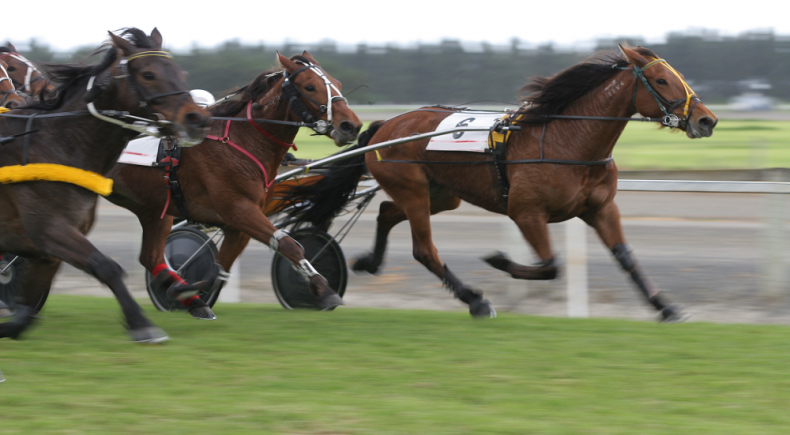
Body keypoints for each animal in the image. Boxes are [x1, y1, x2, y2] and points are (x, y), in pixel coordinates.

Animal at [0, 28, 210, 344]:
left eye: (180, 73)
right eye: (148, 74)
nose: (196, 119)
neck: (54, 143)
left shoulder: (45, 249)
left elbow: (26, 310)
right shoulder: (50, 229)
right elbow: (107, 266)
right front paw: (142, 324)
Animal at [106, 51, 364, 316]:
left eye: (338, 83)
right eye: (310, 86)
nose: (350, 125)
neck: (240, 140)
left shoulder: (238, 221)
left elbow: (220, 267)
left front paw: (186, 291)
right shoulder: (239, 209)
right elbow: (289, 245)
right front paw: (325, 289)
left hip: (154, 209)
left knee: (151, 257)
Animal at [284, 46, 716, 322]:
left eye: (677, 77)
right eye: (661, 80)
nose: (706, 120)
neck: (568, 141)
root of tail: (387, 125)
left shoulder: (600, 208)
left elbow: (626, 257)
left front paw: (666, 308)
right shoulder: (526, 212)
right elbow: (550, 264)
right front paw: (499, 260)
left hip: (441, 193)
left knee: (389, 213)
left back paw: (370, 261)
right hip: (413, 188)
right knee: (424, 249)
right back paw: (475, 300)